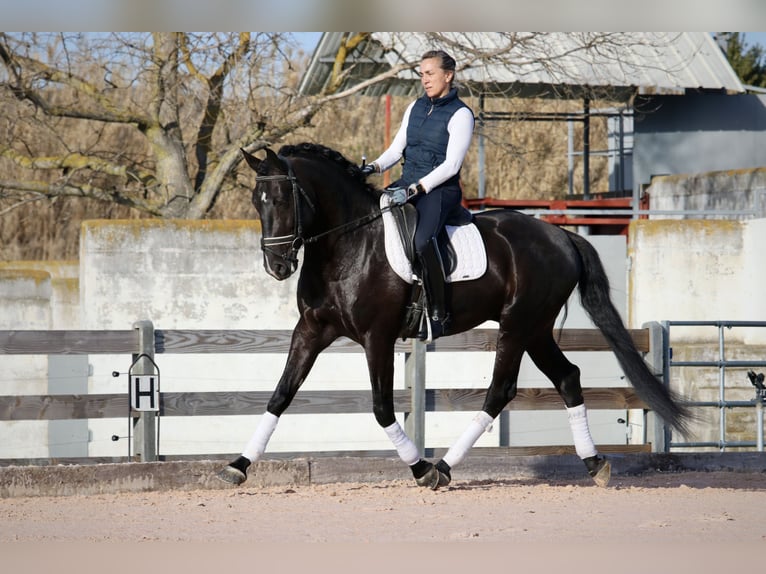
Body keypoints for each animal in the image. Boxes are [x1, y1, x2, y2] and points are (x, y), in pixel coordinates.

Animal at [218, 143, 688, 490]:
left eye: (283, 198)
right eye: (257, 201)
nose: (277, 266)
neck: (348, 244)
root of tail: (560, 234)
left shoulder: (377, 337)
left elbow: (382, 408)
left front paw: (420, 468)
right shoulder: (312, 330)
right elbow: (280, 395)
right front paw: (238, 465)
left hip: (517, 326)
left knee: (500, 390)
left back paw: (443, 467)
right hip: (535, 329)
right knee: (568, 377)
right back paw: (594, 464)